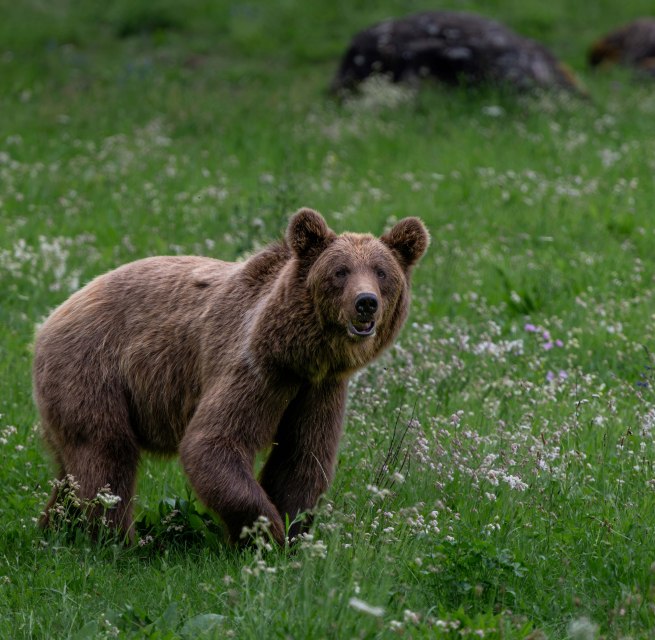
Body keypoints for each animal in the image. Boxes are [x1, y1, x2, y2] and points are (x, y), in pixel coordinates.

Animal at [33, 208, 429, 545]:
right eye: (341, 271)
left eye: (381, 271)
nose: (366, 303)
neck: (299, 354)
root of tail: (50, 317)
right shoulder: (255, 369)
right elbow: (214, 442)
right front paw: (267, 534)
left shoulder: (318, 389)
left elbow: (303, 458)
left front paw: (293, 533)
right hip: (92, 368)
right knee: (105, 454)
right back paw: (117, 539)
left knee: (71, 465)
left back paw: (56, 528)